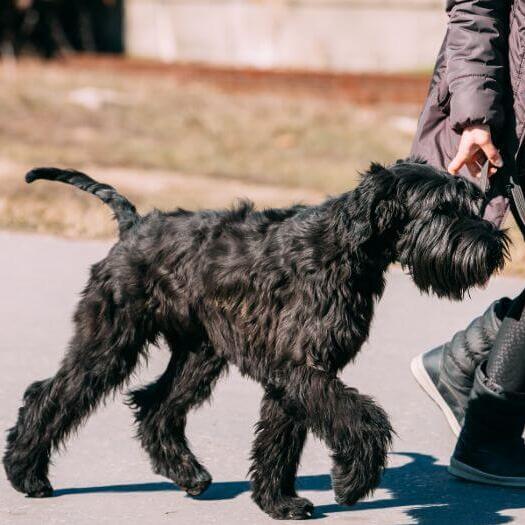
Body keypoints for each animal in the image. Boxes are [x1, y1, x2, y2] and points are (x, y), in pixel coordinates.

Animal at [2, 161, 506, 520]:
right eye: (443, 208)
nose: (494, 245)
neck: (344, 247)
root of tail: (133, 226)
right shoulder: (301, 368)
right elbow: (363, 418)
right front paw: (351, 481)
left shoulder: (296, 376)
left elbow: (280, 438)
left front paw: (278, 501)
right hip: (109, 342)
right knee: (50, 395)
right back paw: (26, 473)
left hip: (199, 355)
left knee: (156, 406)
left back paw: (188, 473)